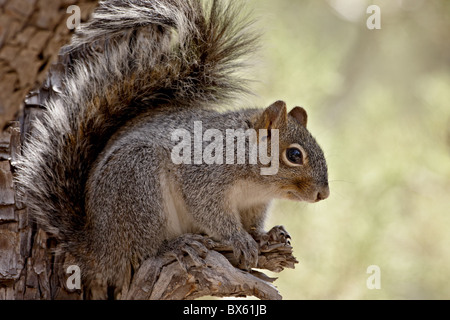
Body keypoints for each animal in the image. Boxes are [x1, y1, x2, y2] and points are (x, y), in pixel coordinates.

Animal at [15, 0, 328, 298]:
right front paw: (239, 239)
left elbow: (251, 223)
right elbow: (209, 209)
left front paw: (263, 236)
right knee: (146, 248)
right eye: (294, 155)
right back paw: (175, 246)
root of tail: (100, 249)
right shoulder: (203, 176)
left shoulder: (253, 204)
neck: (256, 180)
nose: (323, 194)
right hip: (139, 185)